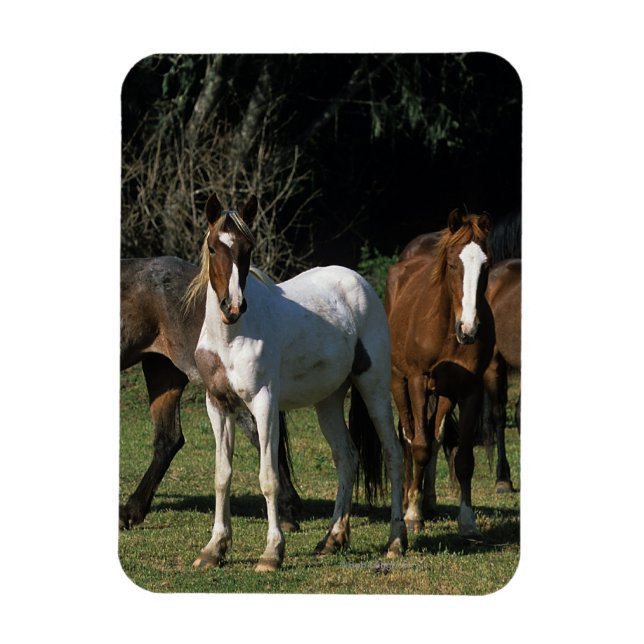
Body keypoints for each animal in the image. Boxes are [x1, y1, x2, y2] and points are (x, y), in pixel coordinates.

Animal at [187, 193, 407, 572]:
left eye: (247, 248)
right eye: (214, 248)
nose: (234, 306)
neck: (231, 336)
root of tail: (359, 282)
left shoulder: (264, 404)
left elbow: (269, 478)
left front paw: (272, 552)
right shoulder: (218, 405)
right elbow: (222, 476)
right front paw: (214, 548)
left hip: (374, 388)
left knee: (393, 454)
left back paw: (395, 541)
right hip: (328, 401)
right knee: (347, 457)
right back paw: (332, 539)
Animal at [385, 209, 495, 536]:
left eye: (486, 264)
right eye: (452, 263)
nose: (469, 329)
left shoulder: (470, 389)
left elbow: (464, 458)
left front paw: (468, 521)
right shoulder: (418, 381)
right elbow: (419, 445)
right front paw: (412, 515)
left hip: (444, 393)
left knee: (435, 436)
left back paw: (427, 500)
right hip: (399, 382)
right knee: (409, 437)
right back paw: (409, 500)